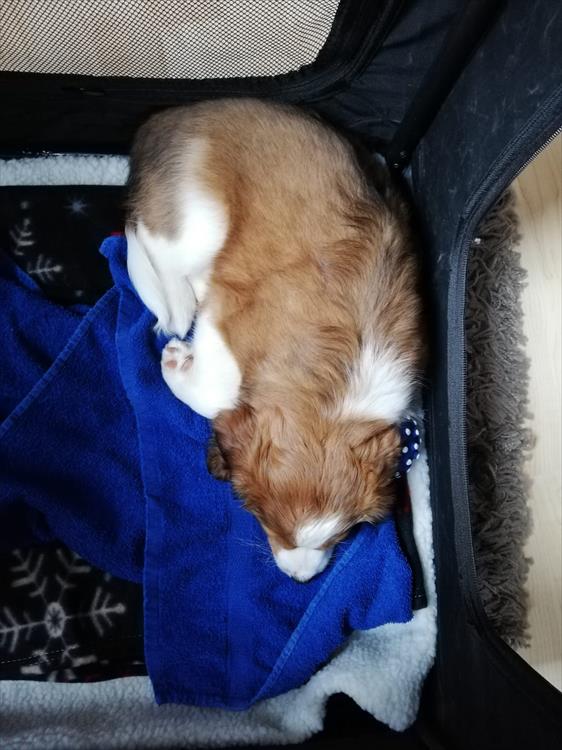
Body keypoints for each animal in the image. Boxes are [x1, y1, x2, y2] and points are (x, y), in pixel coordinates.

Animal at [125, 99, 424, 581]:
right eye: (264, 520)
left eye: (346, 534)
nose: (301, 579)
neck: (338, 391)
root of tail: (162, 118)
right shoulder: (226, 319)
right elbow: (216, 390)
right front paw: (177, 362)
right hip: (198, 223)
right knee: (152, 242)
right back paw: (180, 299)